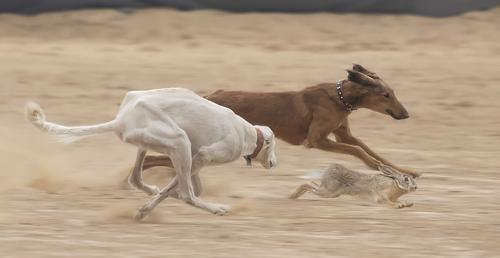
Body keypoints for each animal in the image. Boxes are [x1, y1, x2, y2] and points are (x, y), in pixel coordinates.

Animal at [26, 87, 278, 219]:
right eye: (273, 145)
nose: (275, 164)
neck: (247, 133)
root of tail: (121, 119)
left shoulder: (195, 157)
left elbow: (180, 188)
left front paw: (148, 204)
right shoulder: (202, 155)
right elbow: (183, 190)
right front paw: (148, 207)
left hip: (151, 145)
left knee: (135, 178)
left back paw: (151, 191)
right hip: (178, 141)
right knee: (186, 194)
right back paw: (217, 209)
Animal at [140, 64, 418, 177]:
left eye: (392, 92)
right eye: (386, 95)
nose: (405, 114)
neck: (339, 98)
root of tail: (207, 97)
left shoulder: (343, 134)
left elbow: (369, 149)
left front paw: (404, 170)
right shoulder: (317, 140)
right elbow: (359, 151)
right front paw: (380, 168)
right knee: (159, 159)